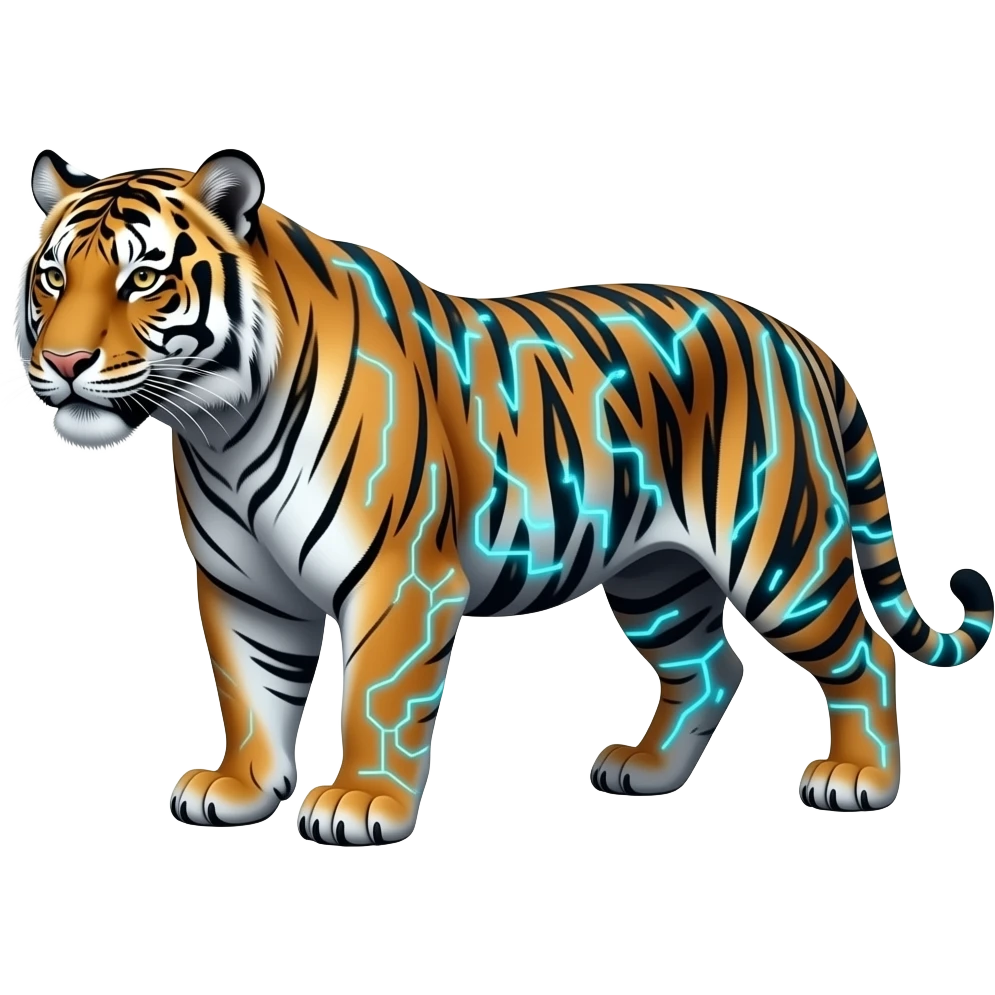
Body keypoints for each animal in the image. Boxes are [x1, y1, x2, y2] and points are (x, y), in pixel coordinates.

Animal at [12, 148, 993, 844]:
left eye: (143, 277)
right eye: (53, 276)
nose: (60, 362)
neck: (219, 426)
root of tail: (796, 337)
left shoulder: (399, 577)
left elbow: (374, 695)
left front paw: (360, 802)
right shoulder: (242, 584)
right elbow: (252, 688)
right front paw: (242, 788)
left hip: (780, 555)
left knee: (864, 656)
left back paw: (857, 781)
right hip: (656, 575)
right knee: (711, 665)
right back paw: (645, 770)